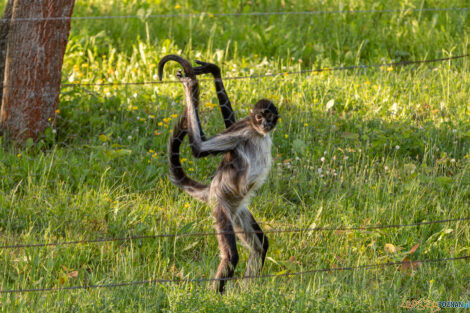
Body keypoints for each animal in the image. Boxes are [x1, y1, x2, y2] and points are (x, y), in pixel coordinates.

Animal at [158, 54, 278, 292]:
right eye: (259, 117)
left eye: (269, 116)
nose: (265, 123)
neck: (258, 134)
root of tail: (211, 189)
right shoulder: (243, 130)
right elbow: (199, 148)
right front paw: (190, 85)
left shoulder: (241, 127)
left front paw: (214, 70)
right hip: (220, 205)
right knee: (231, 256)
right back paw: (214, 296)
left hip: (238, 211)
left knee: (260, 245)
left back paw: (247, 292)